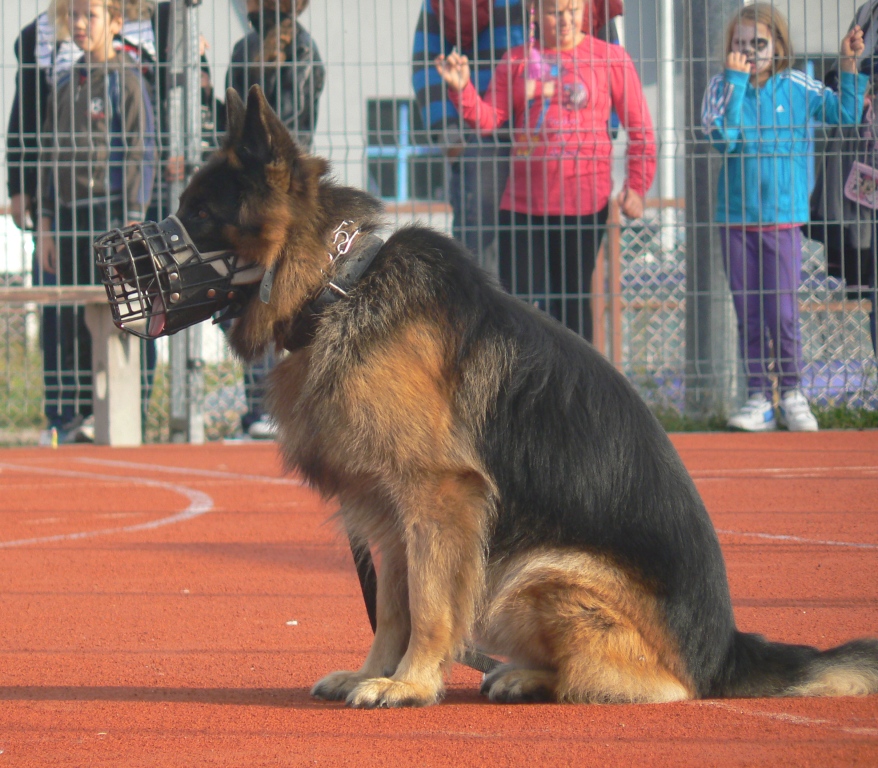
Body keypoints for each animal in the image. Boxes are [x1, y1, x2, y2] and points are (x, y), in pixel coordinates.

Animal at [104, 85, 878, 708]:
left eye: (198, 213)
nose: (108, 256)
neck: (338, 285)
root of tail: (725, 650)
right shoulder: (388, 514)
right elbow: (393, 608)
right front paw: (375, 671)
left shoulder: (439, 497)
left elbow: (430, 607)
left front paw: (412, 684)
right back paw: (521, 674)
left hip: (537, 573)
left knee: (659, 686)